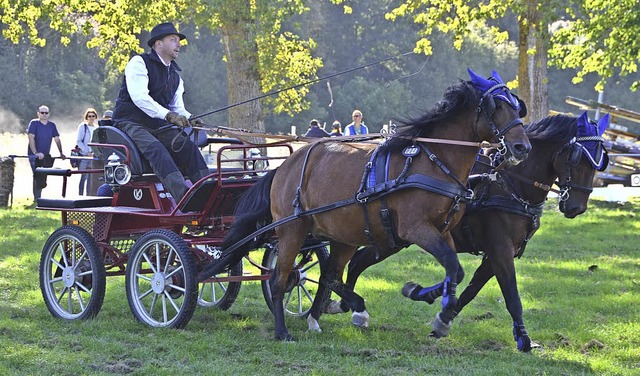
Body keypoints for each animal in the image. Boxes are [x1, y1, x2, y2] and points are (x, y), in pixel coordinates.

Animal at [199, 68, 528, 340]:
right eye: (497, 106)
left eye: (516, 106)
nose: (522, 146)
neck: (433, 162)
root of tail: (283, 166)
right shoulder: (416, 229)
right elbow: (454, 269)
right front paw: (422, 295)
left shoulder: (443, 231)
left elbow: (454, 271)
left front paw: (433, 304)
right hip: (292, 230)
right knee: (281, 280)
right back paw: (284, 330)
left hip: (341, 234)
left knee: (330, 275)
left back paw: (339, 310)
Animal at [336, 110, 608, 352]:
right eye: (577, 157)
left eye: (600, 161)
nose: (576, 207)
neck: (510, 184)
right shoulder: (500, 250)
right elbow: (511, 295)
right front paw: (524, 339)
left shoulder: (494, 255)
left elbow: (470, 291)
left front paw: (442, 318)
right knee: (354, 262)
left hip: (391, 238)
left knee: (357, 262)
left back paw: (345, 303)